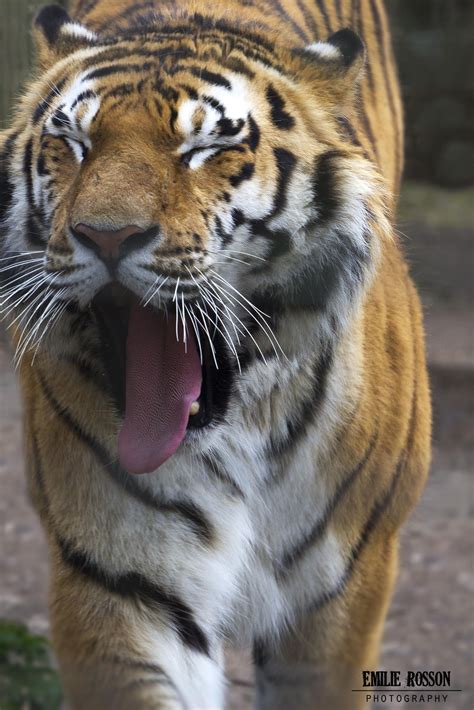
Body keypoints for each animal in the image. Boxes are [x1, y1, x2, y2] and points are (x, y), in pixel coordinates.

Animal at [0, 0, 432, 708]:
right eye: (74, 144)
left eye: (204, 149)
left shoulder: (343, 588)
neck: (236, 431)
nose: (105, 236)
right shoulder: (120, 578)